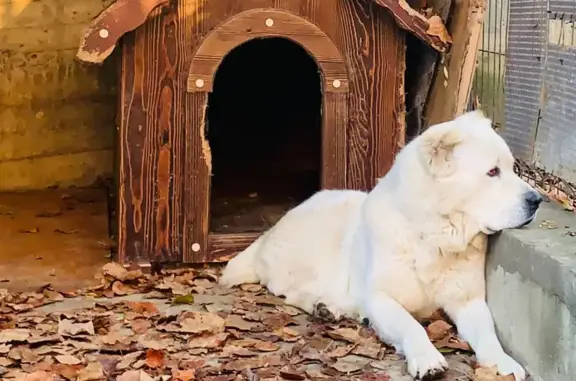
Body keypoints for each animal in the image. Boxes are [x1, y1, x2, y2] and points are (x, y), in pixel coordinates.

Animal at [219, 109, 540, 378]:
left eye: (512, 168)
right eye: (492, 172)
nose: (536, 200)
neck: (433, 235)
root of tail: (271, 230)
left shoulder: (469, 301)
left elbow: (488, 335)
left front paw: (503, 363)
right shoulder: (381, 297)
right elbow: (412, 326)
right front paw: (427, 359)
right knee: (291, 291)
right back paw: (326, 307)